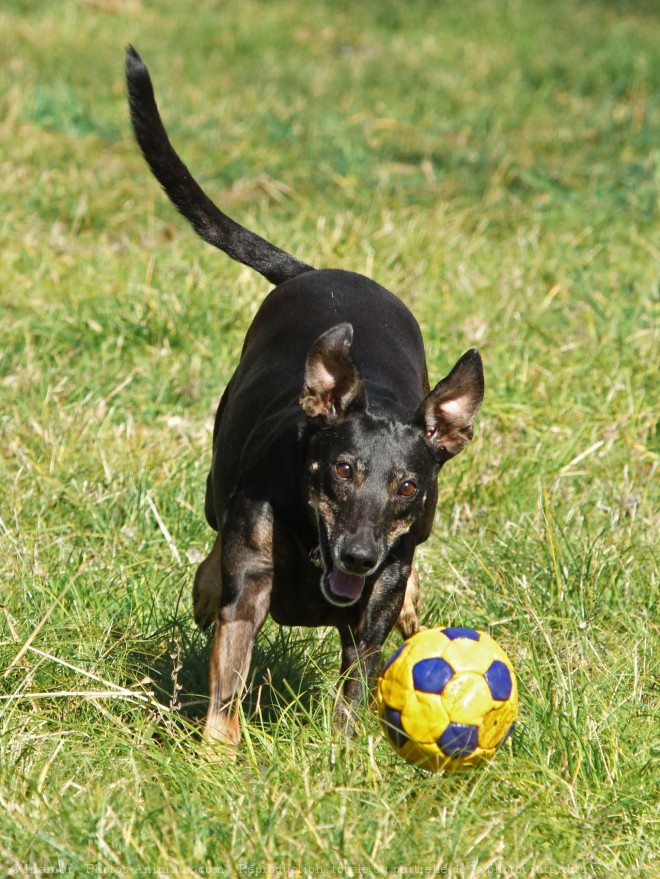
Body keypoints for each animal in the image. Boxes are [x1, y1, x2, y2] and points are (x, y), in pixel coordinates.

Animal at [125, 48, 484, 744]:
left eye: (407, 485)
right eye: (341, 470)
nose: (359, 554)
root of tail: (316, 271)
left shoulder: (373, 605)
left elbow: (360, 678)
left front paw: (345, 750)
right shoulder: (250, 585)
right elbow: (227, 678)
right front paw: (218, 753)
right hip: (218, 480)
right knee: (213, 550)